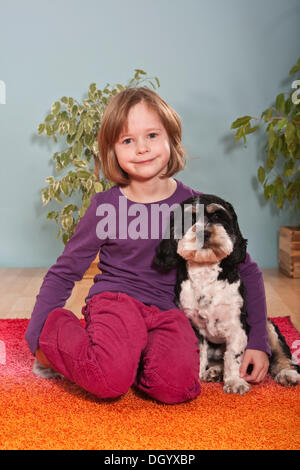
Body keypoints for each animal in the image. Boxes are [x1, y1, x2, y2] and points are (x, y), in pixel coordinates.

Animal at [155, 193, 300, 394]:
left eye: (218, 216)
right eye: (189, 219)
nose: (203, 232)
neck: (205, 273)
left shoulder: (236, 325)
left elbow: (233, 357)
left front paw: (234, 382)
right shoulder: (193, 324)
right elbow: (199, 354)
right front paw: (197, 376)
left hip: (269, 327)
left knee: (280, 356)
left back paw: (287, 373)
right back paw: (214, 371)